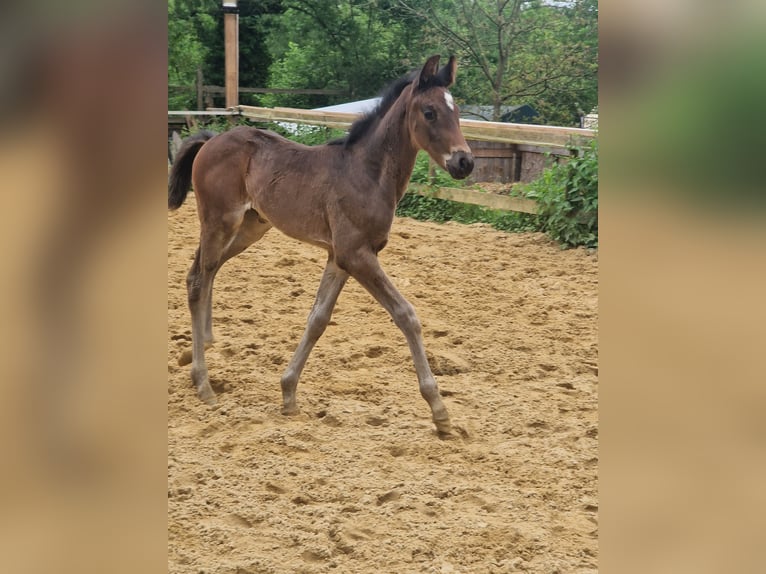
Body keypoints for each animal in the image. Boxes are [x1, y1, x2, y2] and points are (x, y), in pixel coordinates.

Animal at [168, 55, 474, 436]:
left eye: (456, 109)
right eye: (430, 112)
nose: (465, 162)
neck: (367, 173)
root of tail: (211, 140)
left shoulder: (340, 257)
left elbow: (318, 319)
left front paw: (288, 393)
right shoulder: (356, 255)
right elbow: (406, 315)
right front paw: (439, 411)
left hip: (251, 227)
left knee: (208, 270)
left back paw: (204, 345)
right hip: (218, 221)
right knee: (198, 279)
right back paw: (203, 382)